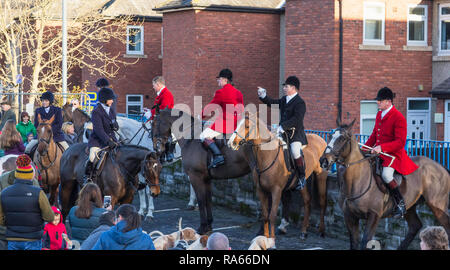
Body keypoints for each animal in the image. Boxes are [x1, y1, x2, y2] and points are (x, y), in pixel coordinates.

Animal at [229, 112, 330, 240]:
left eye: (247, 126)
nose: (231, 142)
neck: (268, 155)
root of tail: (321, 139)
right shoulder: (261, 190)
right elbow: (265, 215)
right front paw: (265, 237)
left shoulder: (276, 190)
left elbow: (272, 215)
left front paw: (271, 238)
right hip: (302, 182)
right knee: (307, 201)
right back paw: (303, 231)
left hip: (321, 176)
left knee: (322, 202)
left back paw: (322, 231)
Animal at [320, 119, 450, 250]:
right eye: (330, 136)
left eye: (342, 139)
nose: (323, 160)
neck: (356, 182)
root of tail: (440, 166)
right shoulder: (349, 216)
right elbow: (354, 243)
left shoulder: (373, 216)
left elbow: (365, 241)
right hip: (410, 206)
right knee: (415, 226)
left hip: (437, 206)